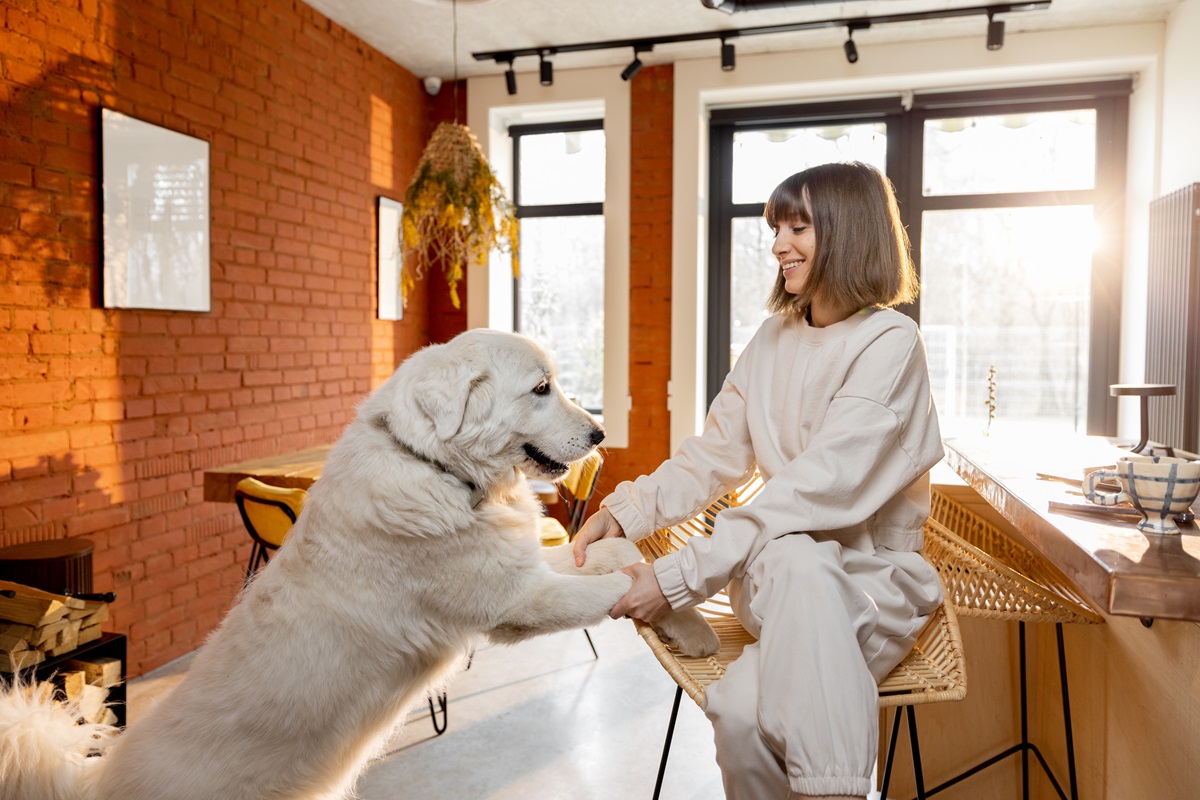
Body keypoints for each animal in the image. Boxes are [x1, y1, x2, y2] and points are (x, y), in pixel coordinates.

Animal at [0, 331, 710, 800]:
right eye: (540, 389)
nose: (599, 435)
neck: (438, 469)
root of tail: (94, 782)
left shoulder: (533, 565)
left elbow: (614, 555)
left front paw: (691, 623)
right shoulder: (518, 600)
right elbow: (615, 589)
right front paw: (691, 624)